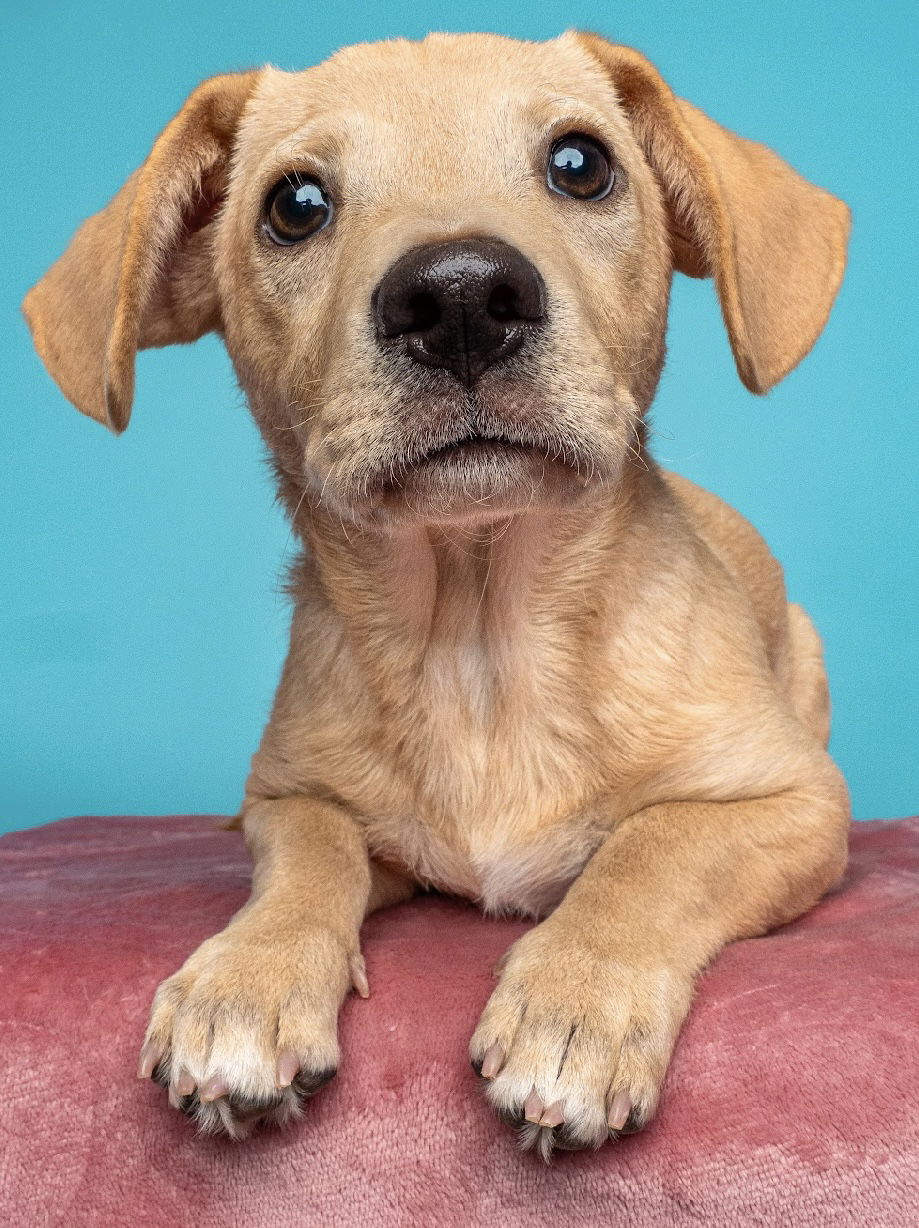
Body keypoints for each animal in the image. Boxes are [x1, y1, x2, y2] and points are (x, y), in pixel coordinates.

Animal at [26, 31, 845, 1159]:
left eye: (581, 163)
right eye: (295, 204)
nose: (459, 298)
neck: (479, 643)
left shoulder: (796, 800)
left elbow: (650, 851)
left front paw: (575, 1004)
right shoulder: (288, 799)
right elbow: (311, 860)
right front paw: (246, 980)